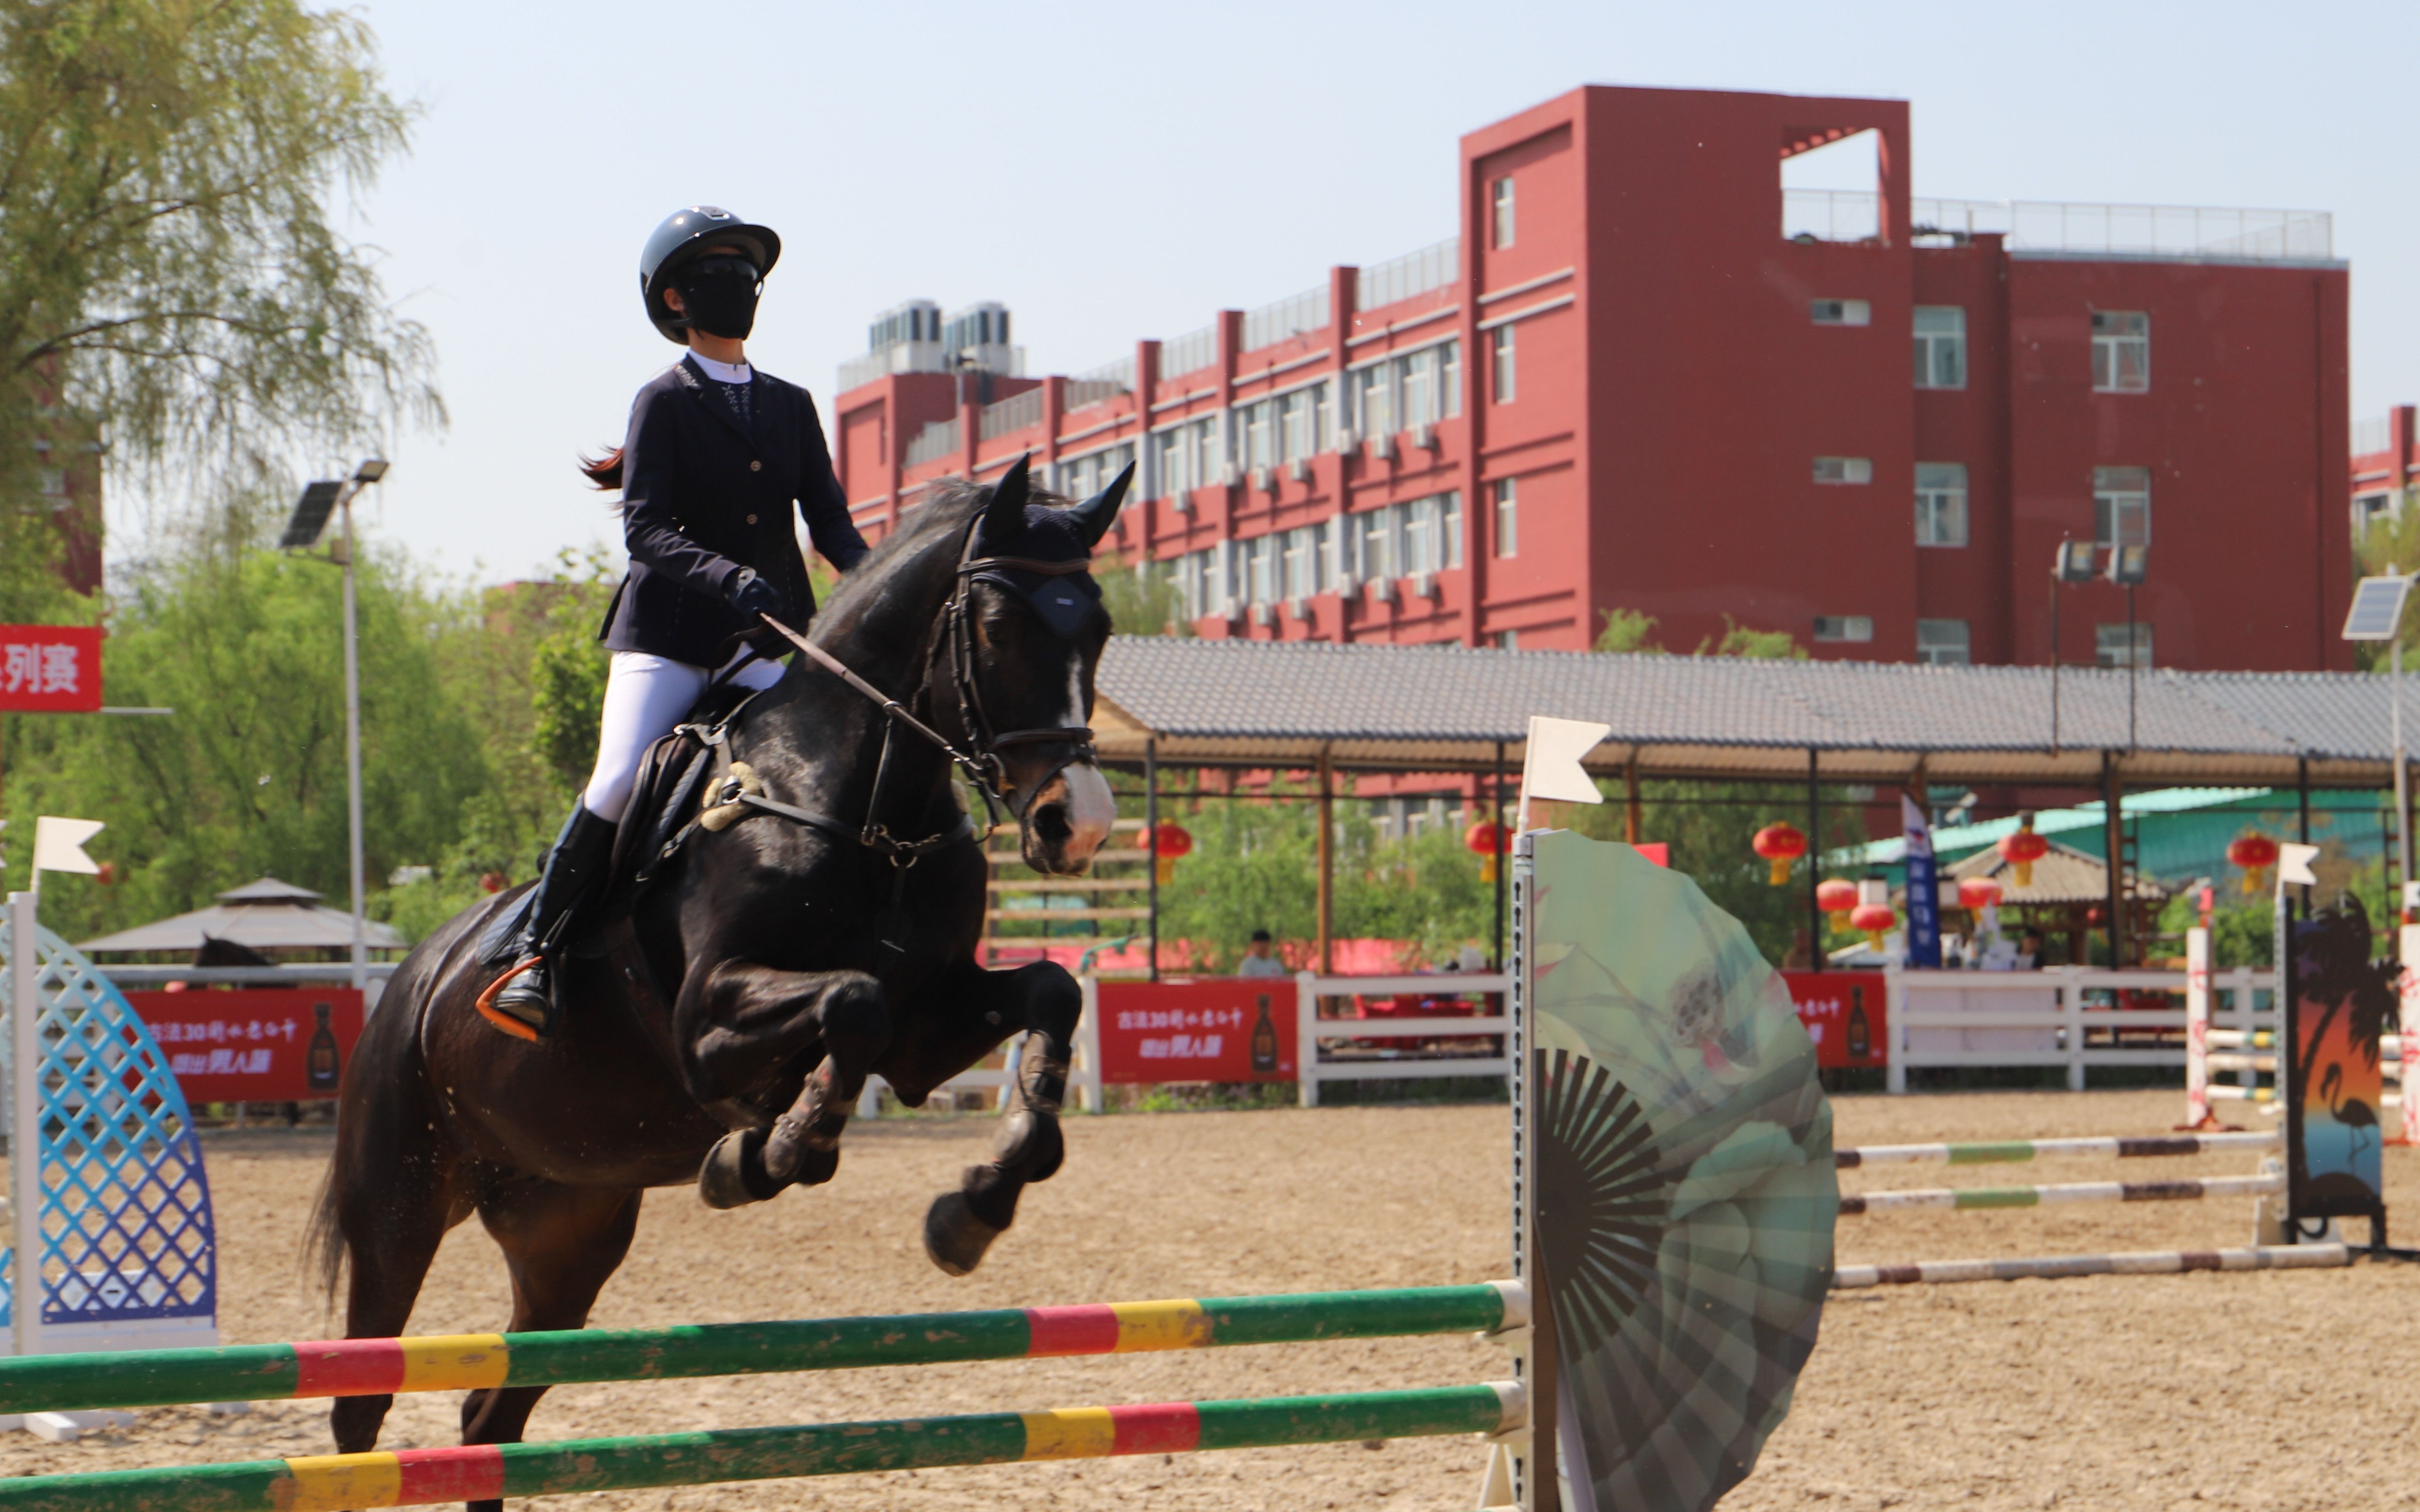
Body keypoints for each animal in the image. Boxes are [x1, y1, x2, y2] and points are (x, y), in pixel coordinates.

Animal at [311, 457, 1126, 1505]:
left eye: (1097, 628)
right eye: (994, 627)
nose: (1079, 824)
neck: (868, 811)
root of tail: (407, 985)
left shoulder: (926, 1028)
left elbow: (1045, 996)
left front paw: (975, 1204)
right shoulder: (707, 1026)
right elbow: (850, 1004)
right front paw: (770, 1152)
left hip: (565, 1235)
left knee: (489, 1418)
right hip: (399, 1210)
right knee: (360, 1408)